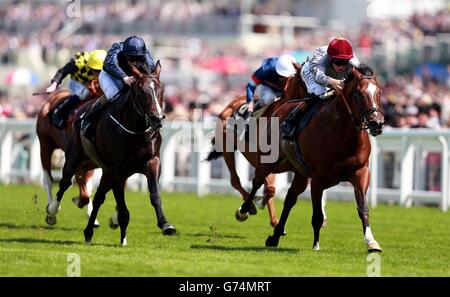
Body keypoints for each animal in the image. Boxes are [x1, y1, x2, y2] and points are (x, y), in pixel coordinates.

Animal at [46, 61, 177, 244]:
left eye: (162, 90)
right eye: (141, 91)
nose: (157, 118)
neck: (134, 131)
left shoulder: (152, 162)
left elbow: (155, 194)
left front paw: (166, 225)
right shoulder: (117, 171)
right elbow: (122, 208)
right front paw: (123, 239)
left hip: (105, 172)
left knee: (99, 197)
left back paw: (88, 232)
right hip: (74, 158)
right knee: (64, 182)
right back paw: (52, 210)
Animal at [236, 63, 384, 251]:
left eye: (379, 92)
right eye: (359, 94)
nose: (377, 123)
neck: (343, 135)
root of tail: (280, 106)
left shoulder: (361, 172)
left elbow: (363, 208)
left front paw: (372, 242)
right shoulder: (318, 179)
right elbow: (317, 216)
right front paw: (316, 245)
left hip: (301, 173)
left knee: (290, 199)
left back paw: (275, 236)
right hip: (269, 160)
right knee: (257, 181)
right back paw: (244, 211)